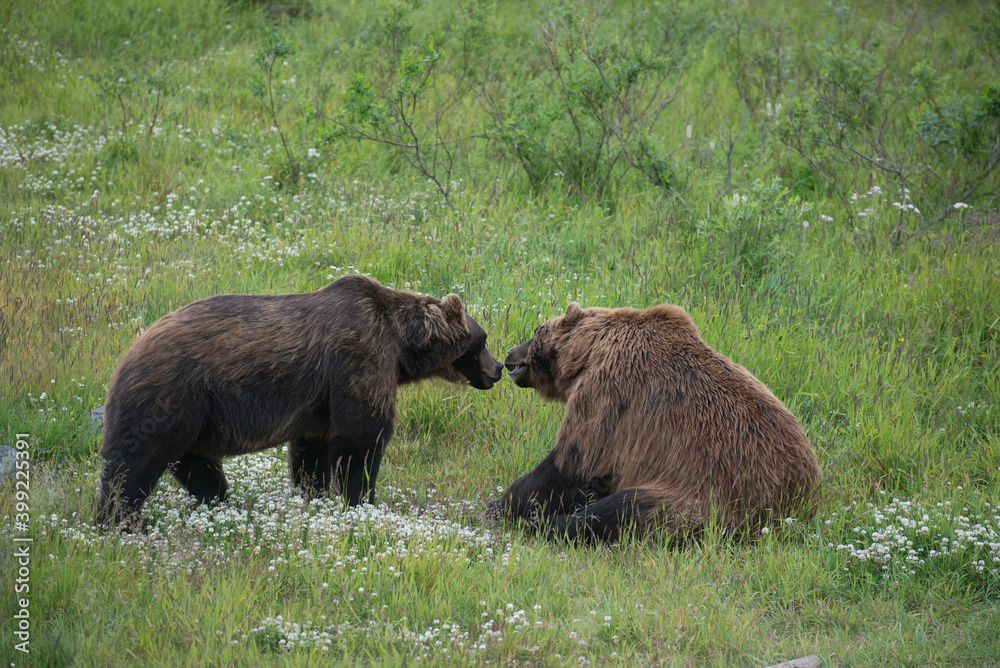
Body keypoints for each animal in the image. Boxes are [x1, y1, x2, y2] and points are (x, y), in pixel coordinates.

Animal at [96, 274, 504, 528]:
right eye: (482, 341)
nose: (498, 369)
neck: (401, 347)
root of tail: (128, 353)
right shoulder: (358, 358)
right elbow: (362, 439)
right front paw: (361, 501)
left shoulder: (318, 405)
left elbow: (312, 451)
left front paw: (315, 498)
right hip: (171, 398)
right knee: (133, 467)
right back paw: (117, 524)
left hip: (197, 418)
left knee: (199, 468)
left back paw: (217, 505)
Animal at [494, 302, 820, 544]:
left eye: (536, 331)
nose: (510, 353)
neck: (589, 354)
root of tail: (802, 498)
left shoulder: (606, 396)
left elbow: (569, 461)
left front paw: (506, 504)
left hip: (708, 492)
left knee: (623, 510)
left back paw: (552, 522)